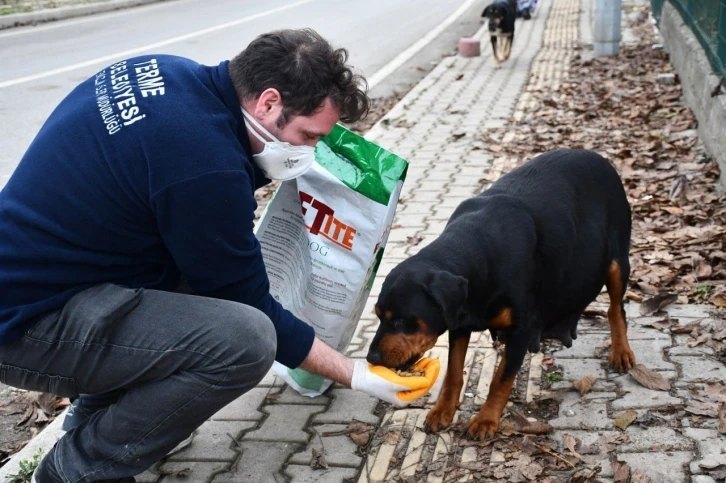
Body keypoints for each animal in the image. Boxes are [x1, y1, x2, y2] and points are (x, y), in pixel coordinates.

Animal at [370, 149, 636, 440]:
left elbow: (501, 378)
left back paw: (621, 351)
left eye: (400, 320)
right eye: (378, 316)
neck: (477, 250)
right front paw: (443, 410)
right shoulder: (459, 323)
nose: (371, 358)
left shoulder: (521, 329)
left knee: (616, 308)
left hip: (617, 260)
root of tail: (599, 156)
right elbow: (453, 371)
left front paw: (486, 419)